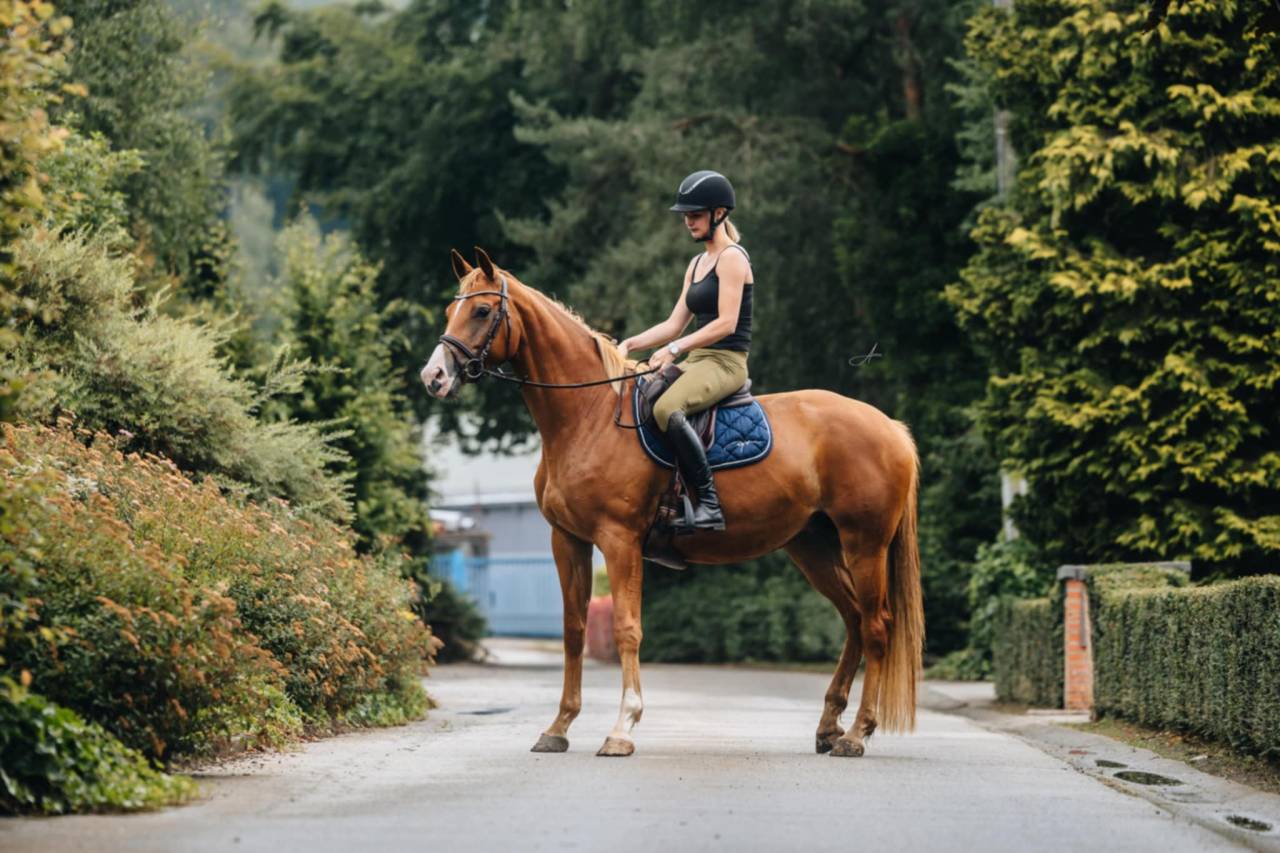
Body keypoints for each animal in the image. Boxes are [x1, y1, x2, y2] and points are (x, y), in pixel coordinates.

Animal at [421, 247, 923, 759]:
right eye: (449, 312)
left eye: (482, 311)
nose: (433, 377)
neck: (588, 417)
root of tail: (890, 427)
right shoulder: (568, 540)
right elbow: (573, 630)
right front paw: (559, 726)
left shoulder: (618, 540)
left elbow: (627, 628)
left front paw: (622, 728)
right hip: (813, 546)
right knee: (855, 621)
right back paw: (828, 727)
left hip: (865, 544)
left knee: (877, 626)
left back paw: (857, 733)